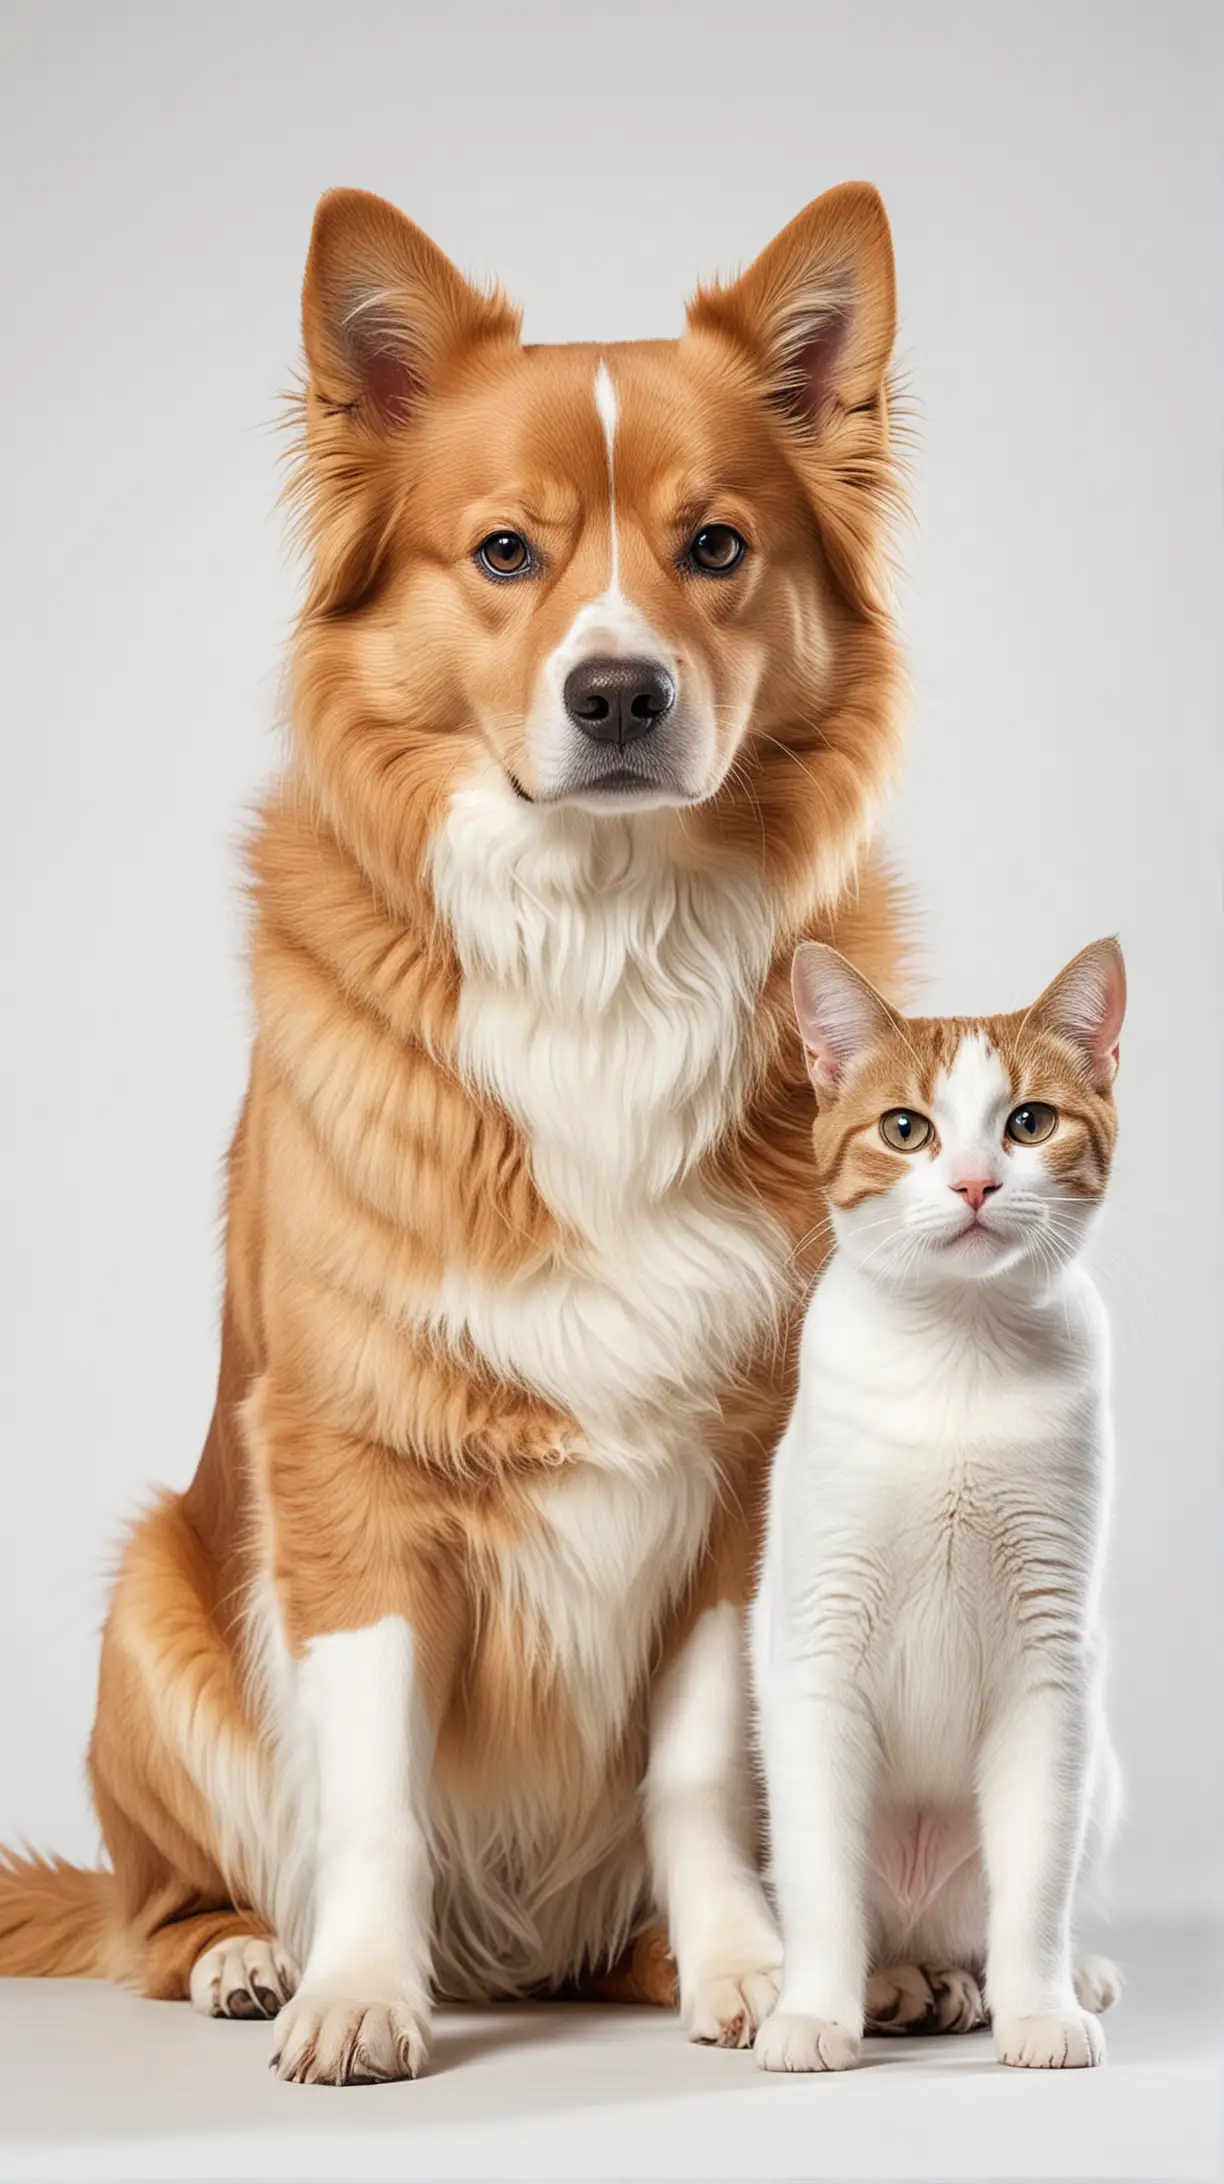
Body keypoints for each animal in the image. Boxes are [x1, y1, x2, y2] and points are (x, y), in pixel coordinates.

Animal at [2, 179, 909, 2070]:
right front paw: (355, 1987)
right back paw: (245, 1954)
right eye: (503, 554)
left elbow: (697, 1769)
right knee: (154, 1908)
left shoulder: (739, 1474)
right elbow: (367, 1786)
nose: (621, 693)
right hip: (152, 1597)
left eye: (717, 547)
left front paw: (738, 1970)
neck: (600, 942)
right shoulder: (349, 1464)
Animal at [751, 934, 1136, 2061]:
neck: (959, 1356)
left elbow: (1037, 1875)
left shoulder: (1051, 1656)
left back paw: (1030, 1979)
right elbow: (822, 1878)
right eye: (905, 1129)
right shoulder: (820, 1637)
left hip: (1100, 1774)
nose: (971, 1183)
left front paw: (1041, 2007)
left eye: (1030, 1122)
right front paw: (814, 2014)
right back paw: (894, 1989)